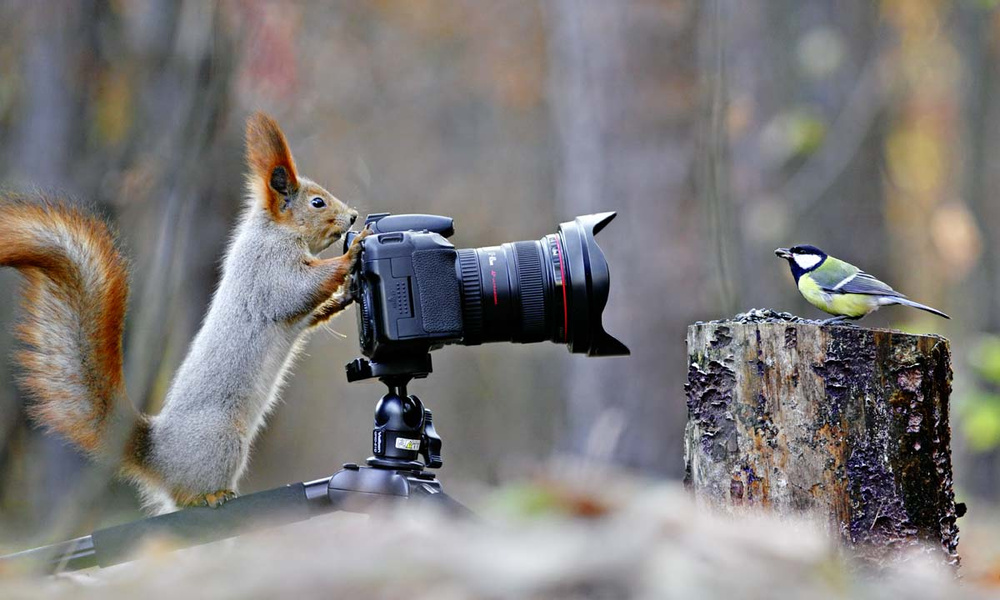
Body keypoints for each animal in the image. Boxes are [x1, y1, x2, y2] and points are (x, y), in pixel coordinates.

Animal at [0, 111, 370, 510]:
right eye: (317, 203)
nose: (353, 216)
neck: (275, 231)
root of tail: (158, 457)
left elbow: (311, 312)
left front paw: (348, 292)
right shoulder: (268, 271)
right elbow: (299, 290)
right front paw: (352, 254)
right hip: (222, 441)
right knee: (186, 494)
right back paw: (212, 495)